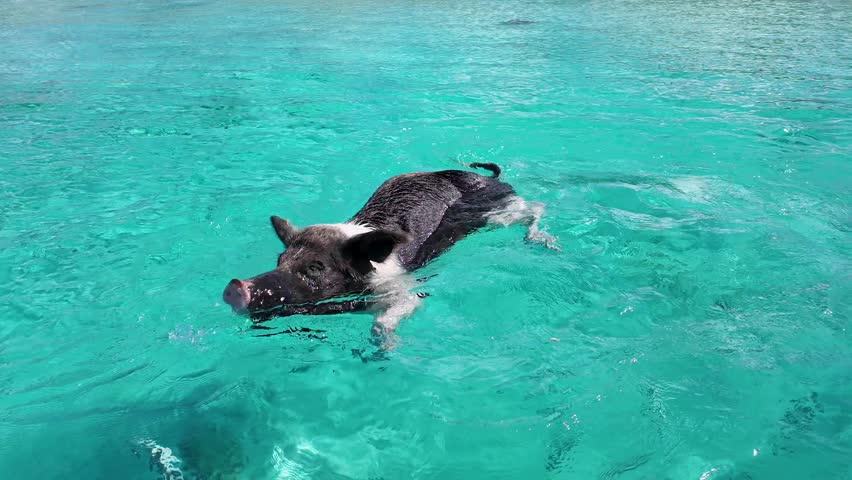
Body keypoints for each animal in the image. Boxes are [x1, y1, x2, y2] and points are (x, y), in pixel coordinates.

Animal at [222, 163, 554, 344]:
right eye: (280, 261)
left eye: (316, 267)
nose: (236, 285)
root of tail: (491, 179)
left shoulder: (405, 290)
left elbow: (388, 319)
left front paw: (382, 351)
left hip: (497, 214)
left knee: (535, 208)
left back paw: (546, 244)